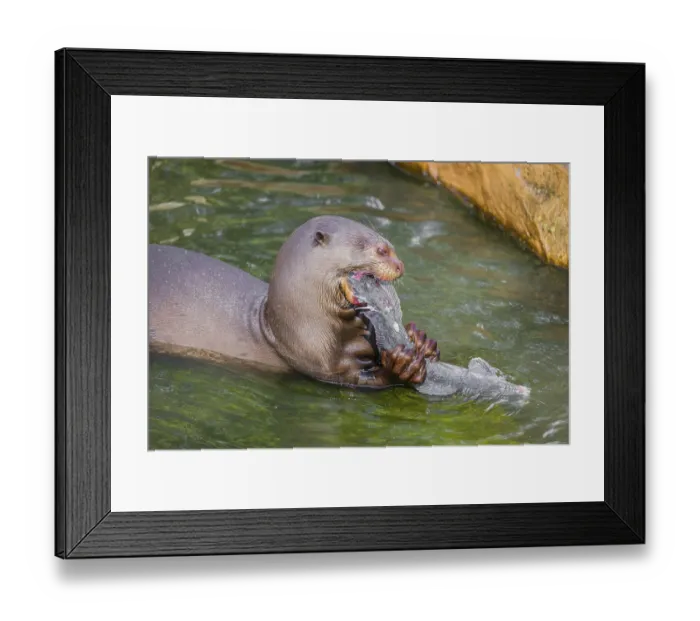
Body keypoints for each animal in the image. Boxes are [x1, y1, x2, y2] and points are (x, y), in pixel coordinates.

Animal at [149, 215, 439, 388]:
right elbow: (358, 379)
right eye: (381, 250)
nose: (400, 266)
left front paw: (421, 340)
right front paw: (403, 367)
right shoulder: (319, 362)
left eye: (391, 247)